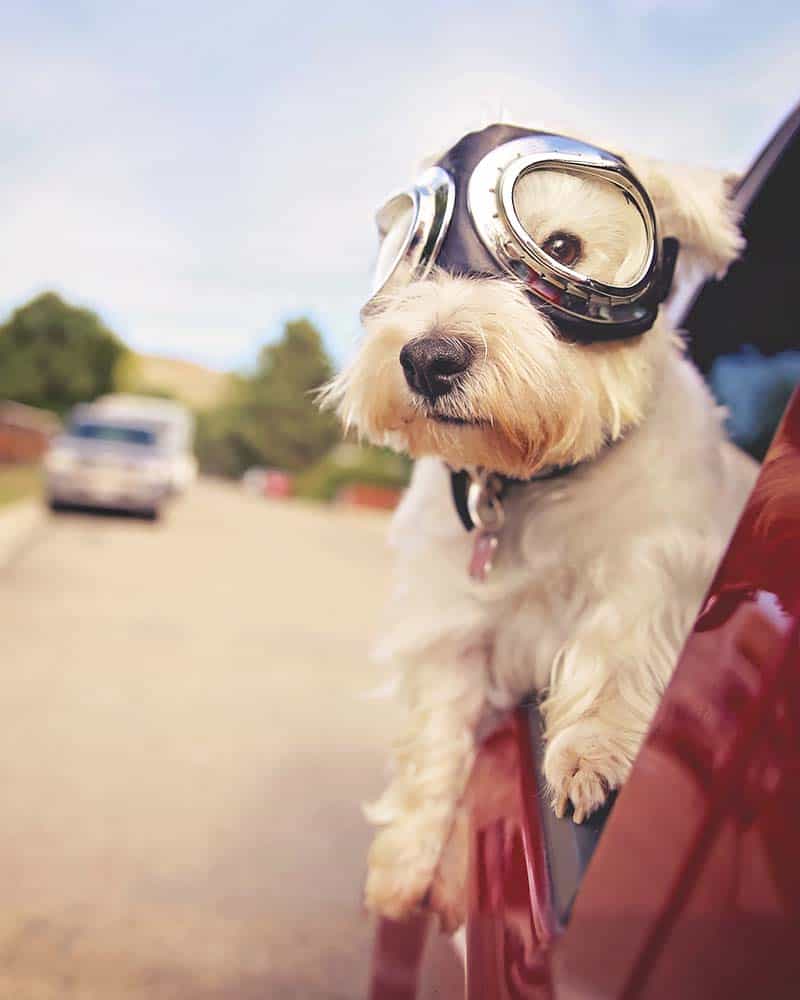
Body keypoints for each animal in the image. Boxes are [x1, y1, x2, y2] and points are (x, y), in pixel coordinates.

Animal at [324, 127, 756, 928]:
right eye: (414, 255)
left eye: (562, 246)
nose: (427, 359)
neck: (531, 480)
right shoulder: (451, 626)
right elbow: (435, 737)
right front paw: (404, 863)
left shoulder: (658, 562)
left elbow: (618, 642)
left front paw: (593, 752)